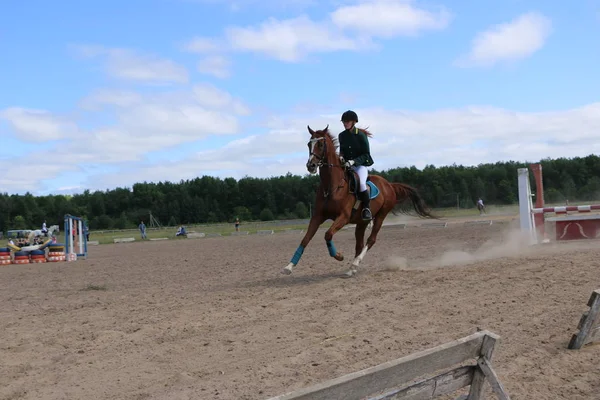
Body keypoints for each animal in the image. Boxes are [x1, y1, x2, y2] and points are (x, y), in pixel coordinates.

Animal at [282, 125, 436, 278]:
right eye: (309, 144)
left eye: (320, 144)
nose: (311, 166)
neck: (332, 186)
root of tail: (389, 185)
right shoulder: (318, 216)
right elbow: (305, 239)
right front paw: (289, 266)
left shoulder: (343, 217)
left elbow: (328, 234)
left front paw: (338, 256)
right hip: (362, 222)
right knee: (359, 244)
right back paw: (352, 269)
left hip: (381, 215)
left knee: (371, 240)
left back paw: (355, 264)